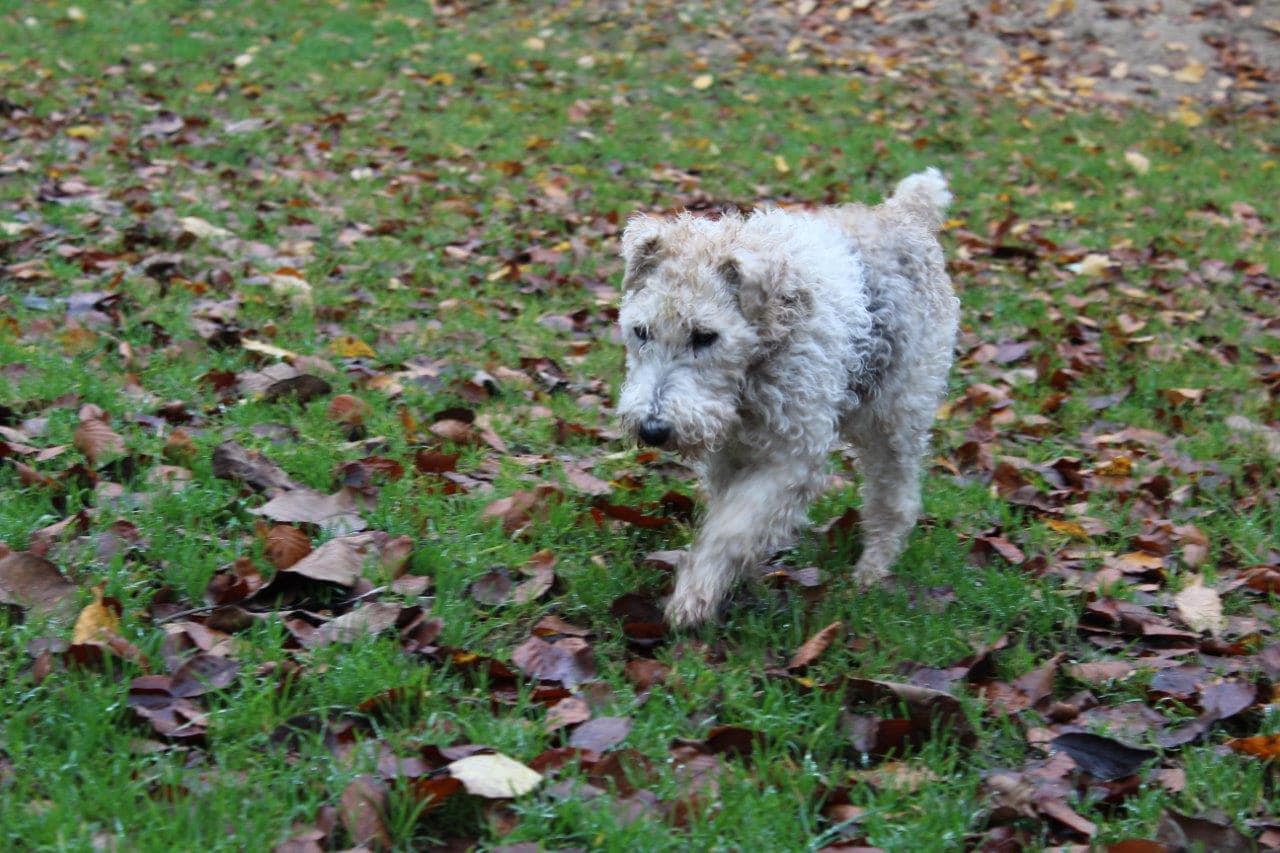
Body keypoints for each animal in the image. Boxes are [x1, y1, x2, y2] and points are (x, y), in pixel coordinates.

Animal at [616, 166, 962, 625]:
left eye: (705, 336)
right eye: (641, 331)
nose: (653, 429)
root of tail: (905, 211)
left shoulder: (792, 456)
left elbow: (731, 528)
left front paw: (693, 598)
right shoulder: (731, 455)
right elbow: (729, 519)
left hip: (897, 416)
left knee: (895, 499)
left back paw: (871, 571)